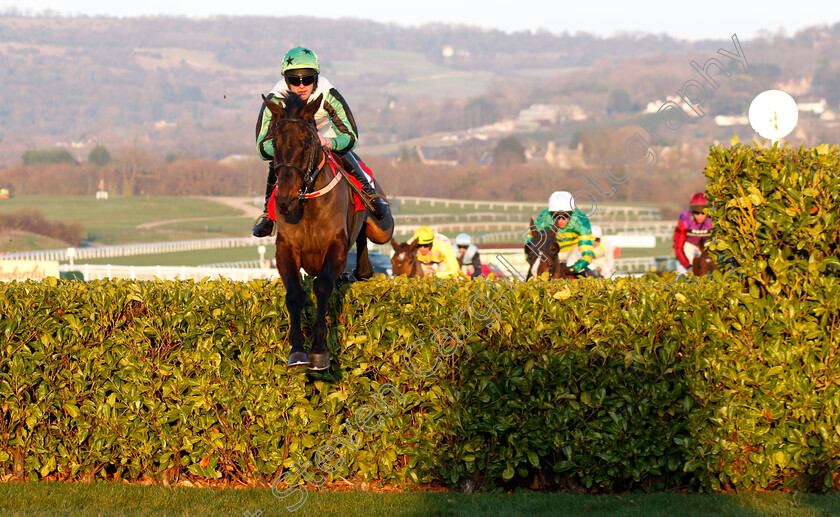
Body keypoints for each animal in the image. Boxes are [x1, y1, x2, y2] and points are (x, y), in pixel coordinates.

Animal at [260, 90, 396, 368]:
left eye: (307, 143)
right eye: (275, 144)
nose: (286, 201)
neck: (308, 205)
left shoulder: (336, 248)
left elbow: (322, 285)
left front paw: (320, 350)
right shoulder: (286, 250)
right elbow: (295, 294)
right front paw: (297, 350)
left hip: (381, 229)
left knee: (368, 238)